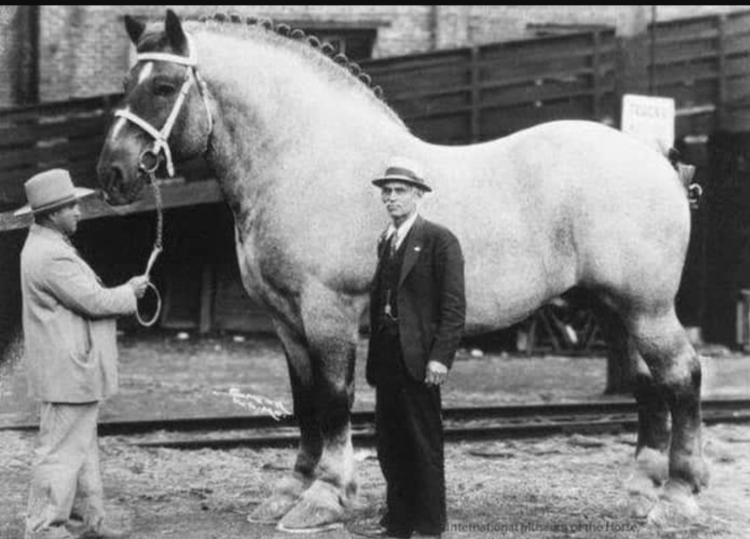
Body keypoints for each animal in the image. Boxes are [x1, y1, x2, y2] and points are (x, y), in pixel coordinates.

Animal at [97, 10, 708, 532]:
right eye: (127, 82)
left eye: (163, 87)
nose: (113, 173)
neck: (307, 160)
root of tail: (658, 159)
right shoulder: (286, 320)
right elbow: (303, 400)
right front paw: (291, 490)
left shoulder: (329, 310)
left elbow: (333, 398)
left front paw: (325, 496)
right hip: (615, 309)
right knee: (648, 384)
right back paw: (641, 490)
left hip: (647, 308)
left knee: (682, 376)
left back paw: (678, 496)